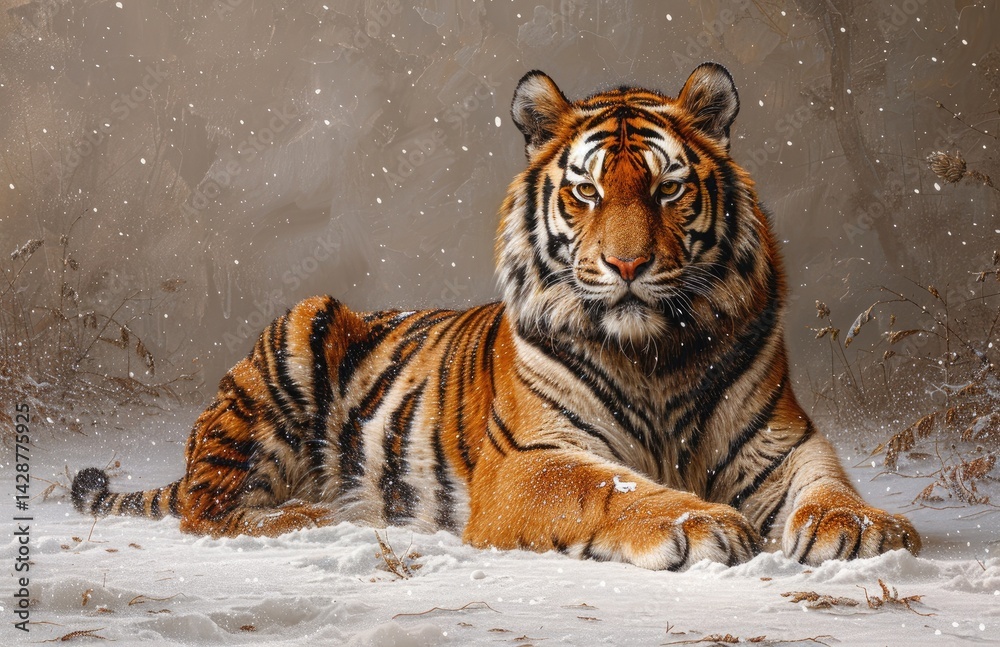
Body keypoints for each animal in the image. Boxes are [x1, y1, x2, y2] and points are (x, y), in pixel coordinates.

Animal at [72, 63, 920, 569]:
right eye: (586, 191)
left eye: (667, 188)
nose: (627, 266)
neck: (654, 351)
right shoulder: (529, 459)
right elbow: (613, 486)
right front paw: (696, 522)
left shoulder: (780, 440)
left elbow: (826, 480)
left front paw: (865, 525)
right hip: (296, 335)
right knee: (215, 509)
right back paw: (320, 515)